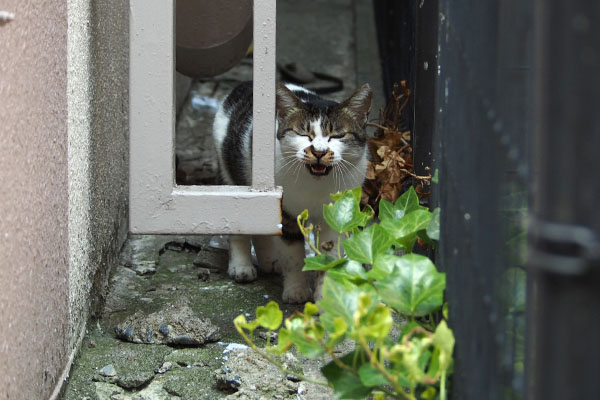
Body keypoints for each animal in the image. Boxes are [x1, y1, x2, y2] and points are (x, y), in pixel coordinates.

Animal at [211, 82, 370, 304]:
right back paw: (241, 267)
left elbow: (329, 258)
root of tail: (243, 85)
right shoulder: (287, 214)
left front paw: (325, 297)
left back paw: (270, 261)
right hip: (231, 177)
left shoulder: (337, 217)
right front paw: (296, 290)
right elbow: (293, 257)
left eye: (338, 136)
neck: (316, 187)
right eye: (303, 134)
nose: (319, 151)